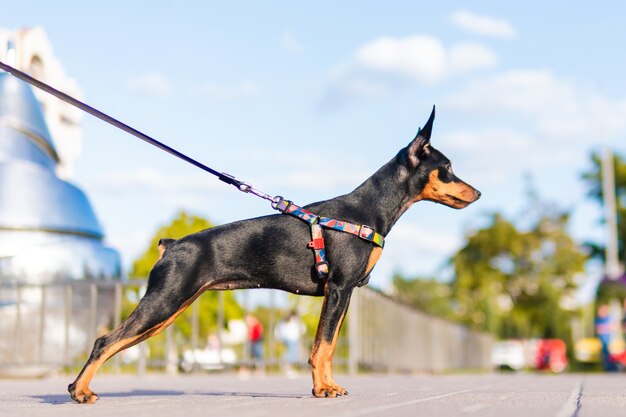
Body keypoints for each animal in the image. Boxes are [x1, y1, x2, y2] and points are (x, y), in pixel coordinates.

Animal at [67, 107, 478, 404]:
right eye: (448, 168)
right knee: (104, 342)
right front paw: (323, 390)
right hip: (164, 301)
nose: (478, 193)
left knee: (114, 342)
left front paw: (326, 386)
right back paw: (80, 391)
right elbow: (324, 347)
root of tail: (172, 244)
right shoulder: (340, 289)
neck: (369, 209)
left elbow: (326, 346)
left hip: (169, 309)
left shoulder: (340, 295)